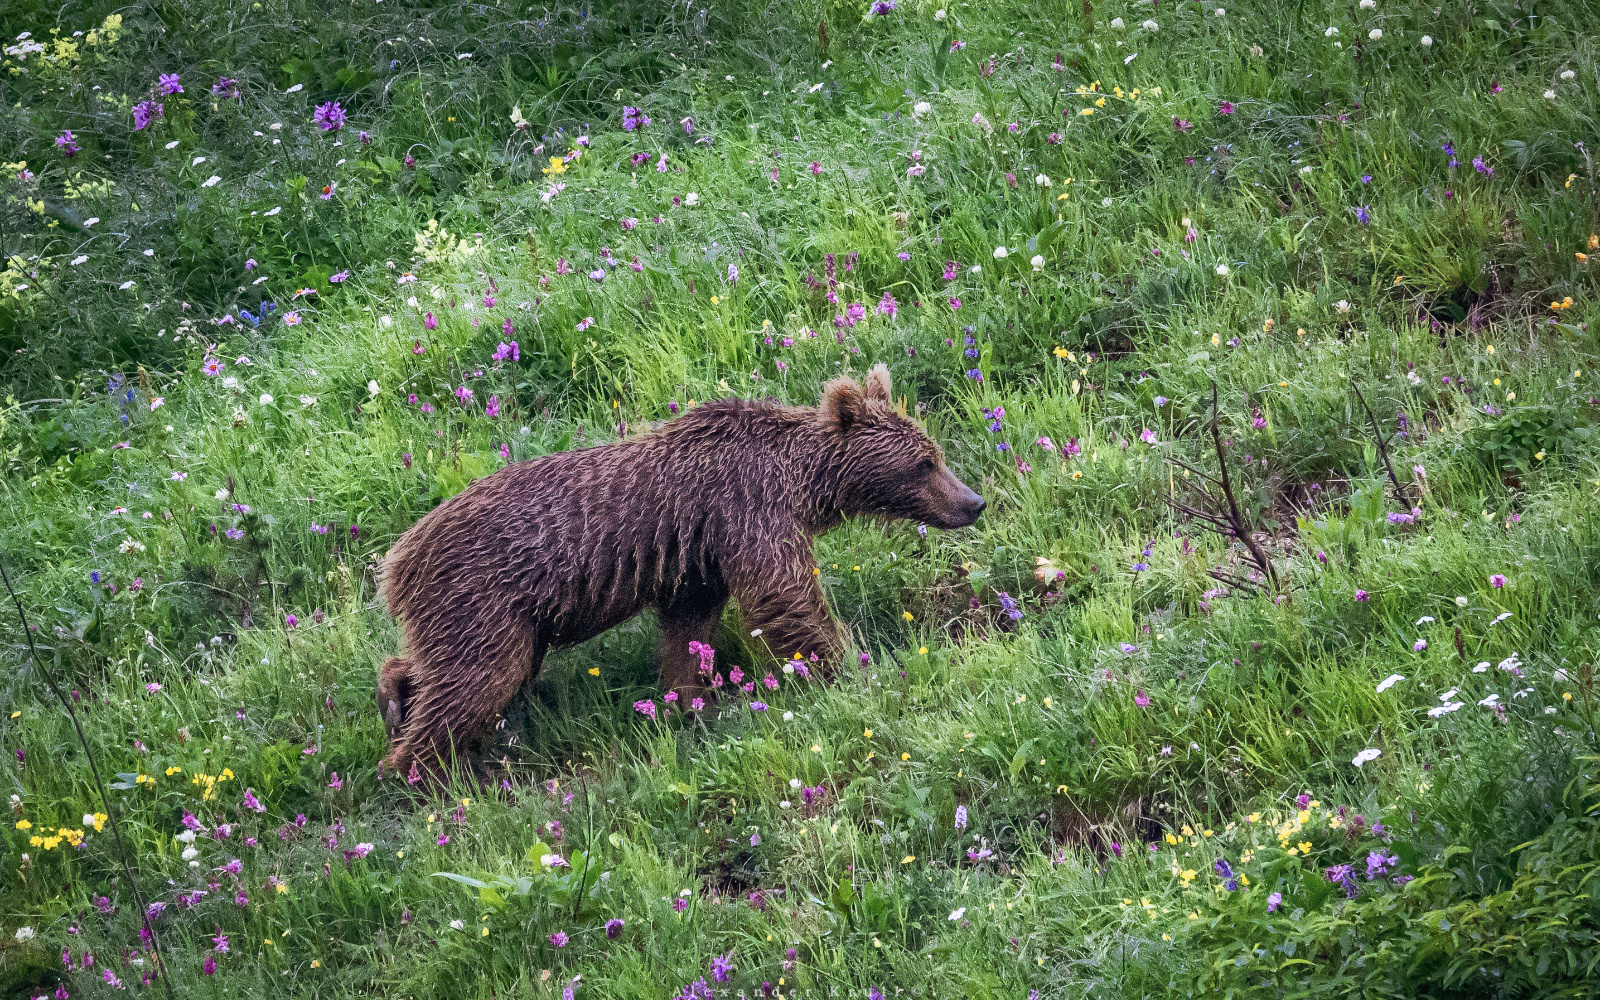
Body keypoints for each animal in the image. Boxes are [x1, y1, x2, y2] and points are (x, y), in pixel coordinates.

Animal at [376, 363, 984, 777]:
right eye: (924, 463)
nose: (973, 502)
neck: (801, 483)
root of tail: (396, 560)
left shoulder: (700, 555)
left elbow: (688, 628)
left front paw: (688, 701)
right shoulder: (748, 510)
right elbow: (786, 595)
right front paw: (853, 664)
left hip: (499, 614)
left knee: (457, 667)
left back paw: (395, 696)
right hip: (484, 591)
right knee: (475, 681)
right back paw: (419, 770)